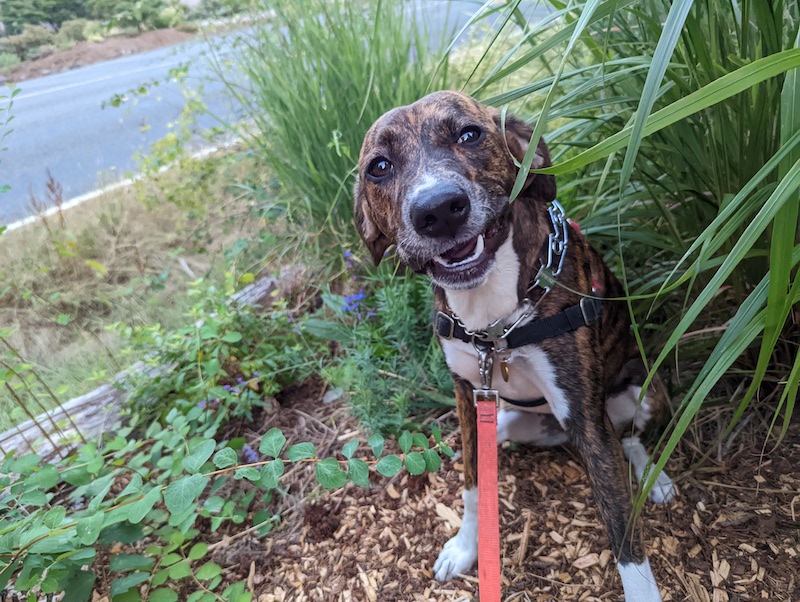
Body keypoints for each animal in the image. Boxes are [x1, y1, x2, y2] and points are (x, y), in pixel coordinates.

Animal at [354, 90, 672, 600]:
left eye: (469, 134)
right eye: (378, 166)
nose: (438, 209)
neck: (492, 319)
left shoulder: (586, 417)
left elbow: (624, 530)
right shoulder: (469, 396)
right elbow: (471, 486)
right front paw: (466, 548)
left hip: (641, 394)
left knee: (631, 439)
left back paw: (655, 478)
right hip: (509, 421)